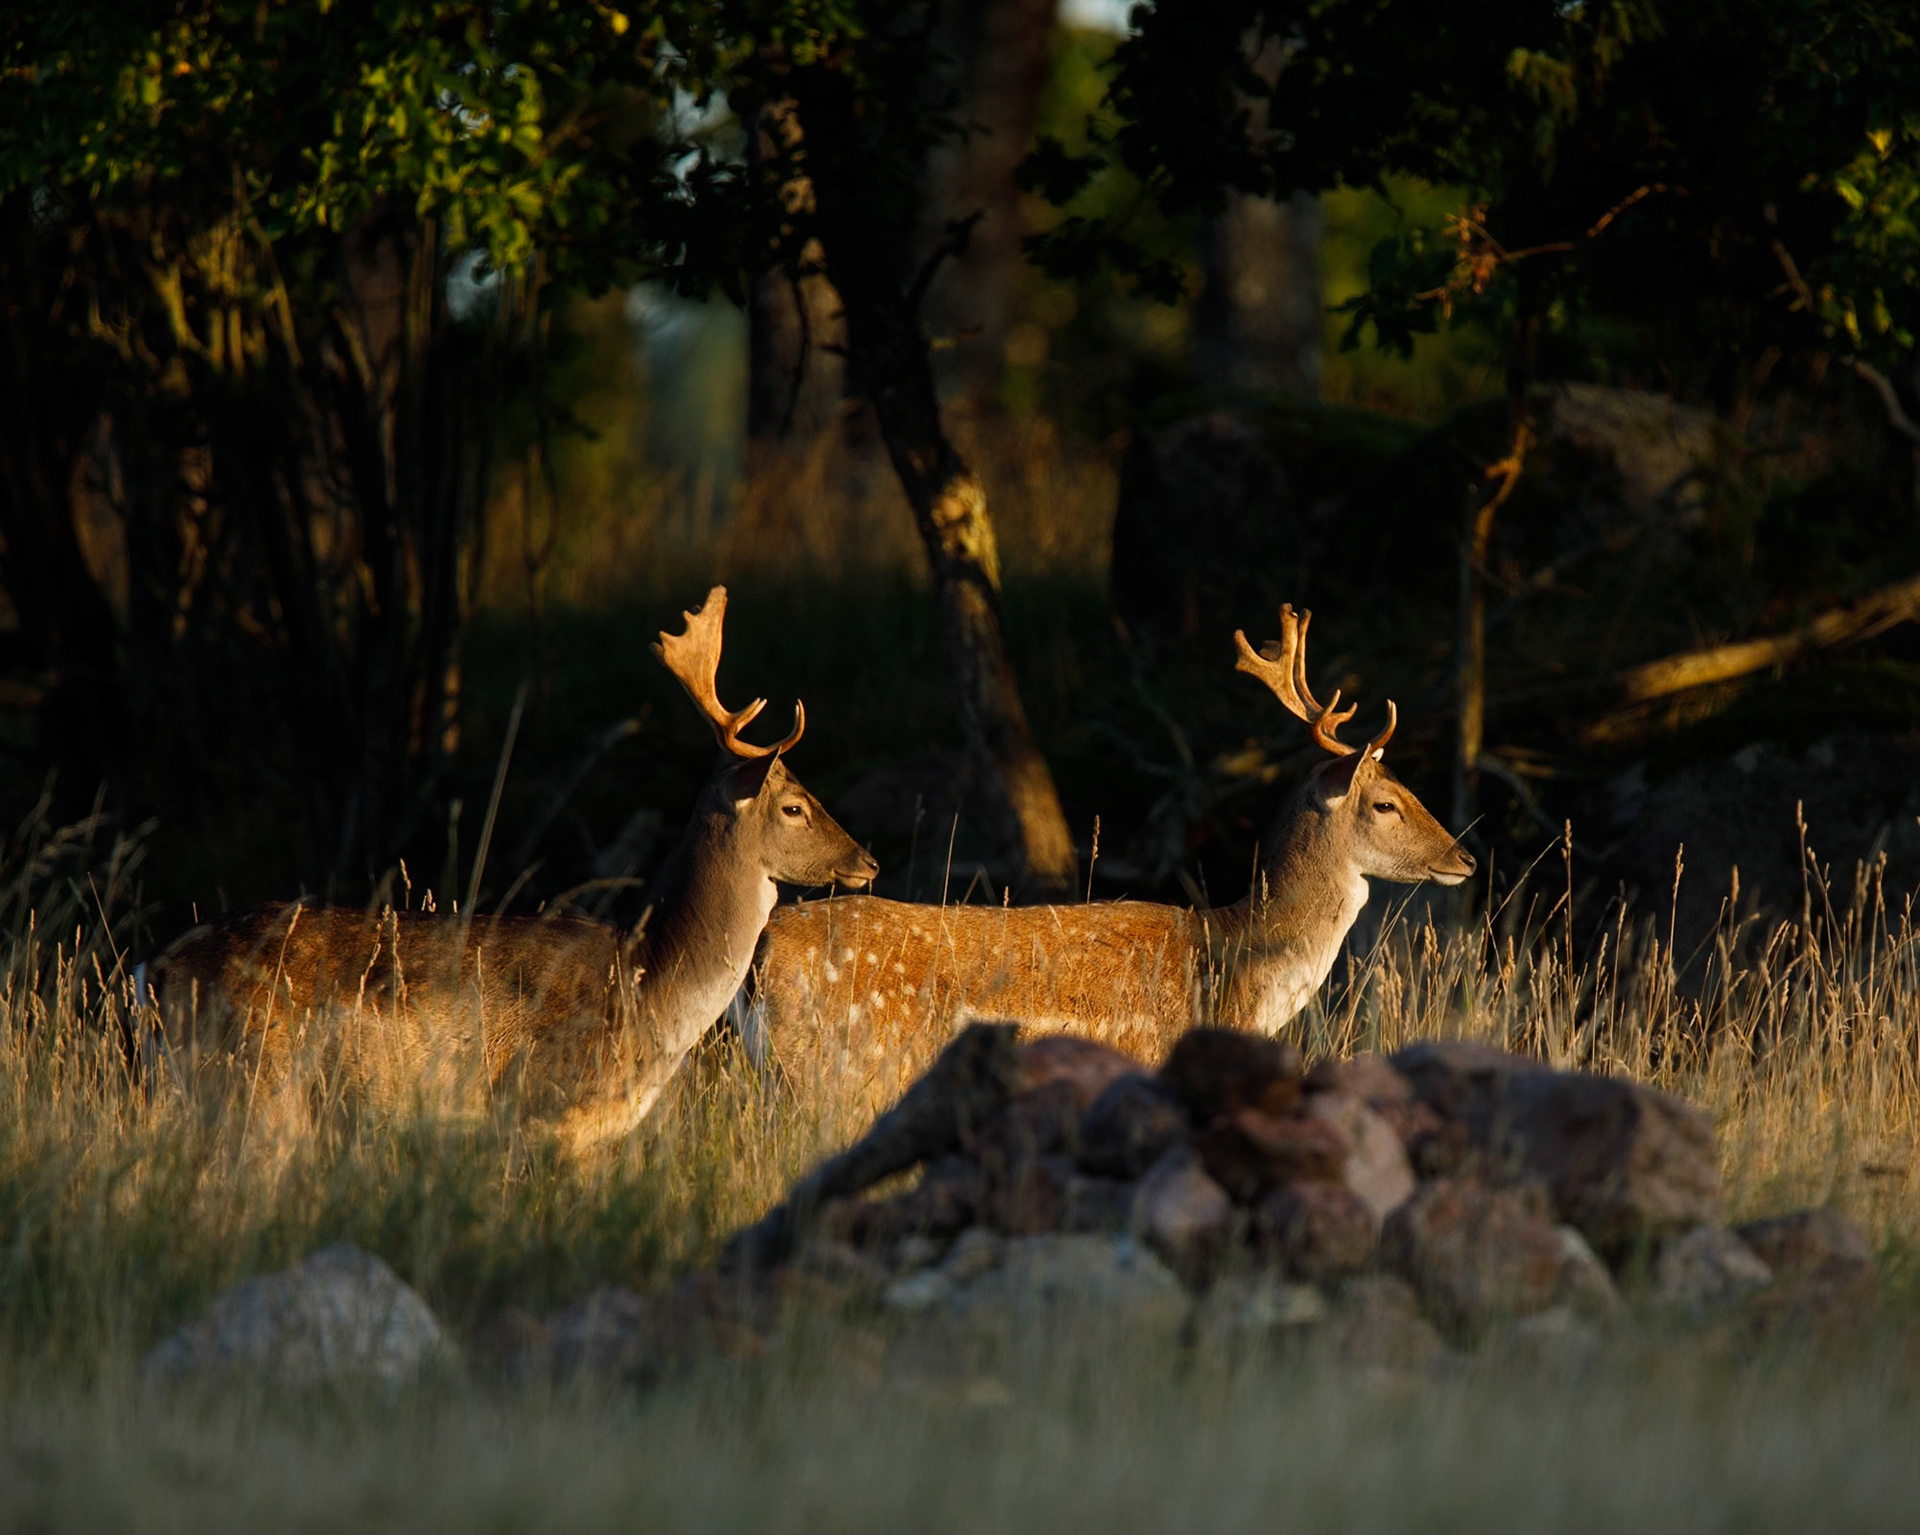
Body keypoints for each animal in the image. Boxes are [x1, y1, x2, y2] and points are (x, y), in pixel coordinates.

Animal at [147, 586, 878, 1155]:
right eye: (793, 805)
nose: (867, 860)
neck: (646, 986)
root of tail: (153, 972)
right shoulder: (542, 1109)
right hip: (256, 1087)